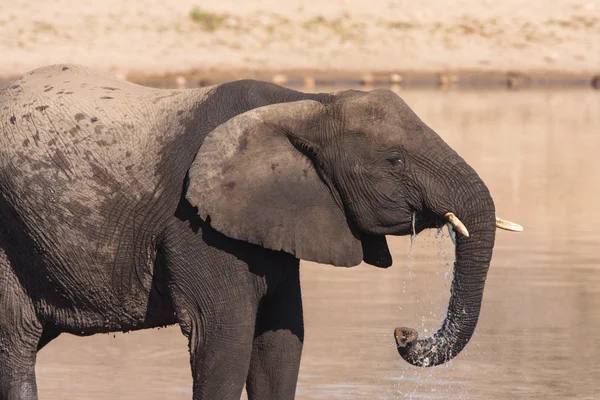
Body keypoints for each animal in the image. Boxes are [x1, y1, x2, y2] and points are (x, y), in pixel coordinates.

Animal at [0, 64, 520, 398]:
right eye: (394, 161)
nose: (403, 333)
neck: (306, 106)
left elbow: (281, 341)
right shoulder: (192, 223)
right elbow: (225, 340)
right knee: (16, 345)